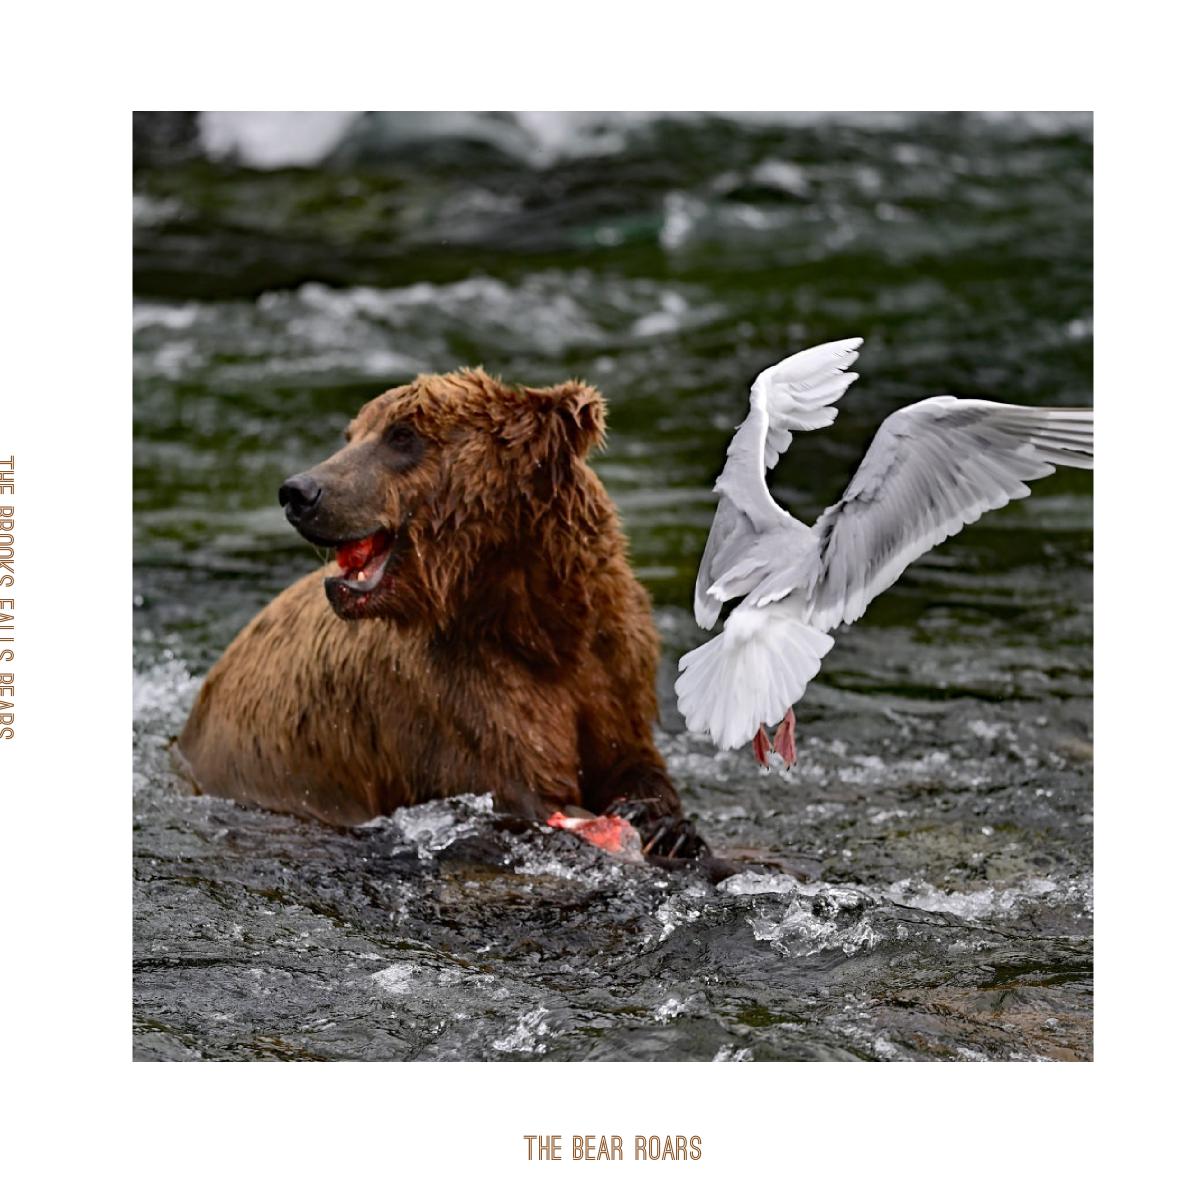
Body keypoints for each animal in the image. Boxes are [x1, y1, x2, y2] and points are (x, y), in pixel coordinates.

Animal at [176, 368, 706, 859]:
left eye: (401, 435)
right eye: (352, 434)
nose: (299, 492)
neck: (529, 616)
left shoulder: (612, 662)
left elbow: (629, 756)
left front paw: (667, 825)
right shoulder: (449, 694)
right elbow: (516, 783)